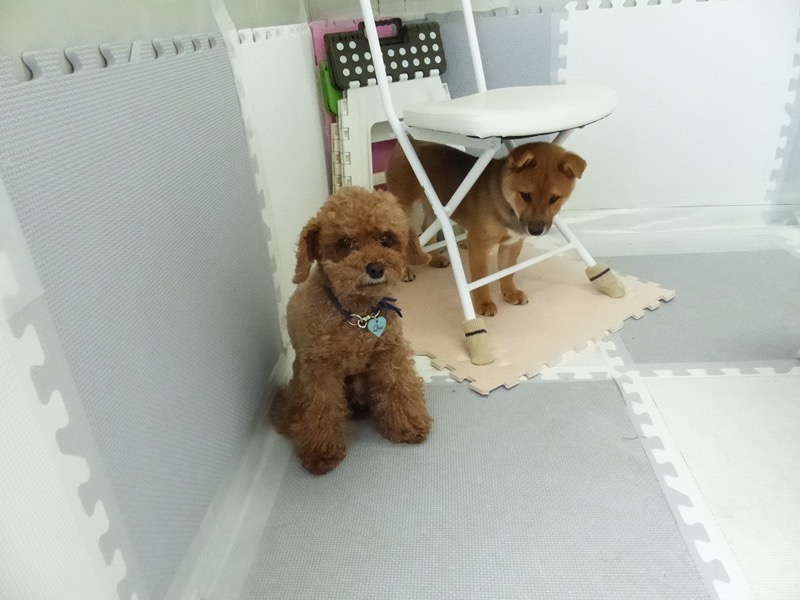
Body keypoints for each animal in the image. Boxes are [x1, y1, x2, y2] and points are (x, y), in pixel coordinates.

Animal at [270, 187, 433, 475]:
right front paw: (321, 453)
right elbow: (321, 410)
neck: (359, 315)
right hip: (301, 381)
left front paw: (408, 424)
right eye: (345, 242)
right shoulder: (319, 370)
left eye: (386, 238)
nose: (376, 268)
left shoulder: (390, 353)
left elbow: (399, 387)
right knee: (294, 410)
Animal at [386, 140, 586, 317]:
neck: (505, 203)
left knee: (428, 227)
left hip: (433, 206)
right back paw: (405, 270)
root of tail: (411, 142)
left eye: (554, 199)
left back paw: (434, 258)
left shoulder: (512, 244)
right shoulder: (479, 245)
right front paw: (484, 304)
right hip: (404, 209)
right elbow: (481, 279)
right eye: (525, 195)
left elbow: (507, 272)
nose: (536, 231)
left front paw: (510, 293)